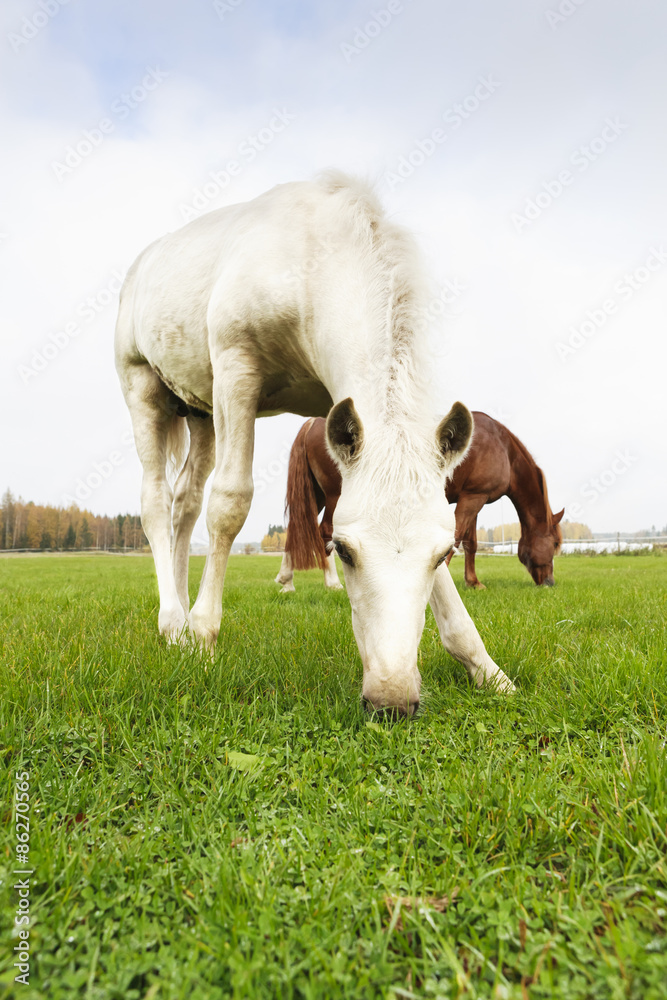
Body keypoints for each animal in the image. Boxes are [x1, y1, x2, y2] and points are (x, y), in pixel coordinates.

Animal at [115, 172, 514, 715]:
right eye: (341, 551)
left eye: (442, 554)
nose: (391, 701)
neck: (309, 261)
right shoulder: (236, 370)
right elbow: (231, 503)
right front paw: (204, 637)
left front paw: (485, 668)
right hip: (145, 390)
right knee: (157, 502)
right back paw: (174, 622)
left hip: (202, 413)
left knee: (185, 505)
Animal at [275, 411, 563, 592]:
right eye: (555, 544)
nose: (549, 582)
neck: (501, 447)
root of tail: (313, 422)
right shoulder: (473, 498)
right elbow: (457, 537)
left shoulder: (473, 497)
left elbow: (470, 543)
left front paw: (473, 582)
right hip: (336, 497)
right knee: (325, 533)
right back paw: (333, 583)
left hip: (317, 495)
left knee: (294, 532)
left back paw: (287, 582)